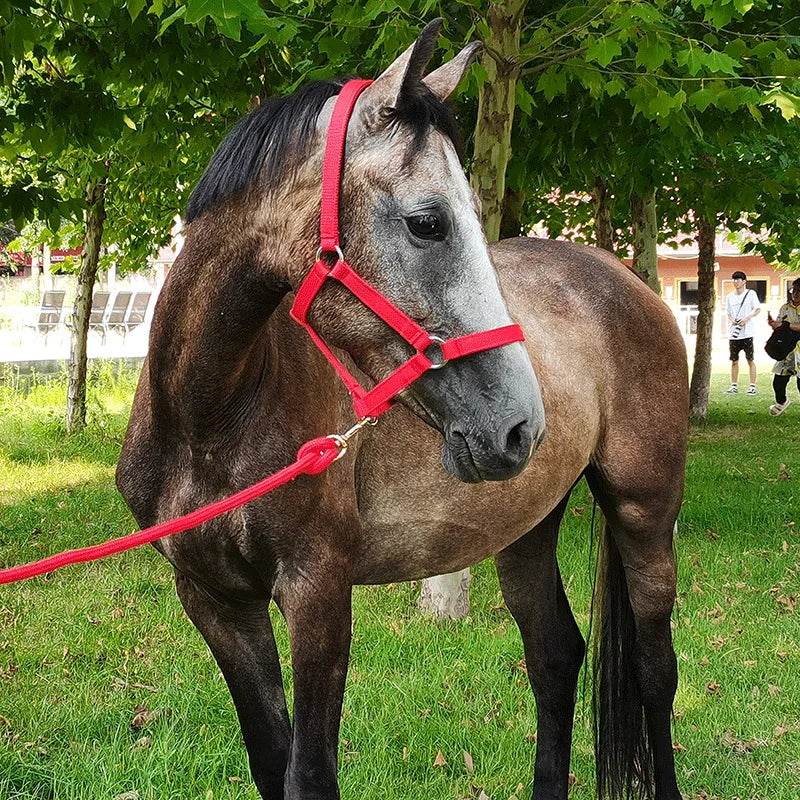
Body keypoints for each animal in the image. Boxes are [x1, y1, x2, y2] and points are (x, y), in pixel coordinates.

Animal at [117, 20, 687, 800]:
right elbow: (271, 760)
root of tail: (625, 280)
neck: (210, 419)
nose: (520, 424)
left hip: (644, 511)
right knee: (554, 656)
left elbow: (309, 772)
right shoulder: (215, 602)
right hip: (527, 524)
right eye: (426, 222)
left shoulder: (319, 594)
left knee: (657, 673)